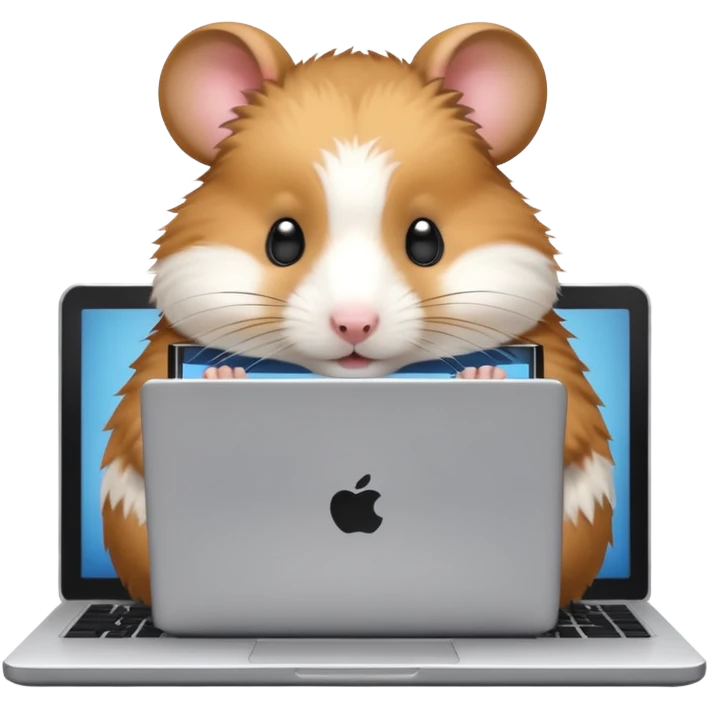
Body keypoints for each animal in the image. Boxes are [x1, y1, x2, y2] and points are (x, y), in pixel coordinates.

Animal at [101, 20, 614, 608]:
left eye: (426, 240)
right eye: (283, 239)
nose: (354, 324)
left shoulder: (556, 364)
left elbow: (572, 427)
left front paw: (483, 375)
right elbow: (138, 432)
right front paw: (221, 376)